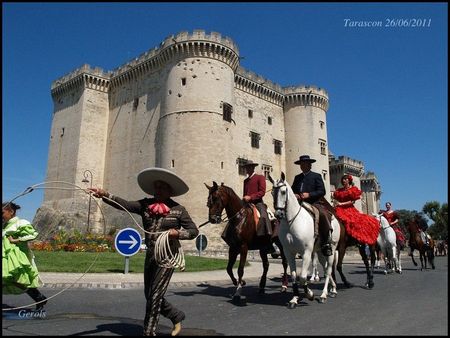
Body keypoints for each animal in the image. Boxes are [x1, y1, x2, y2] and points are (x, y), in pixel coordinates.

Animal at [268, 173, 340, 308]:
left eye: (283, 191)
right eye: (272, 193)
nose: (278, 214)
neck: (291, 222)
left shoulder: (306, 252)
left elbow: (302, 277)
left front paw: (309, 294)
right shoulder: (288, 252)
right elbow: (294, 275)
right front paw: (294, 299)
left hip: (331, 249)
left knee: (328, 270)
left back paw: (323, 294)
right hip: (320, 251)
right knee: (325, 267)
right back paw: (333, 289)